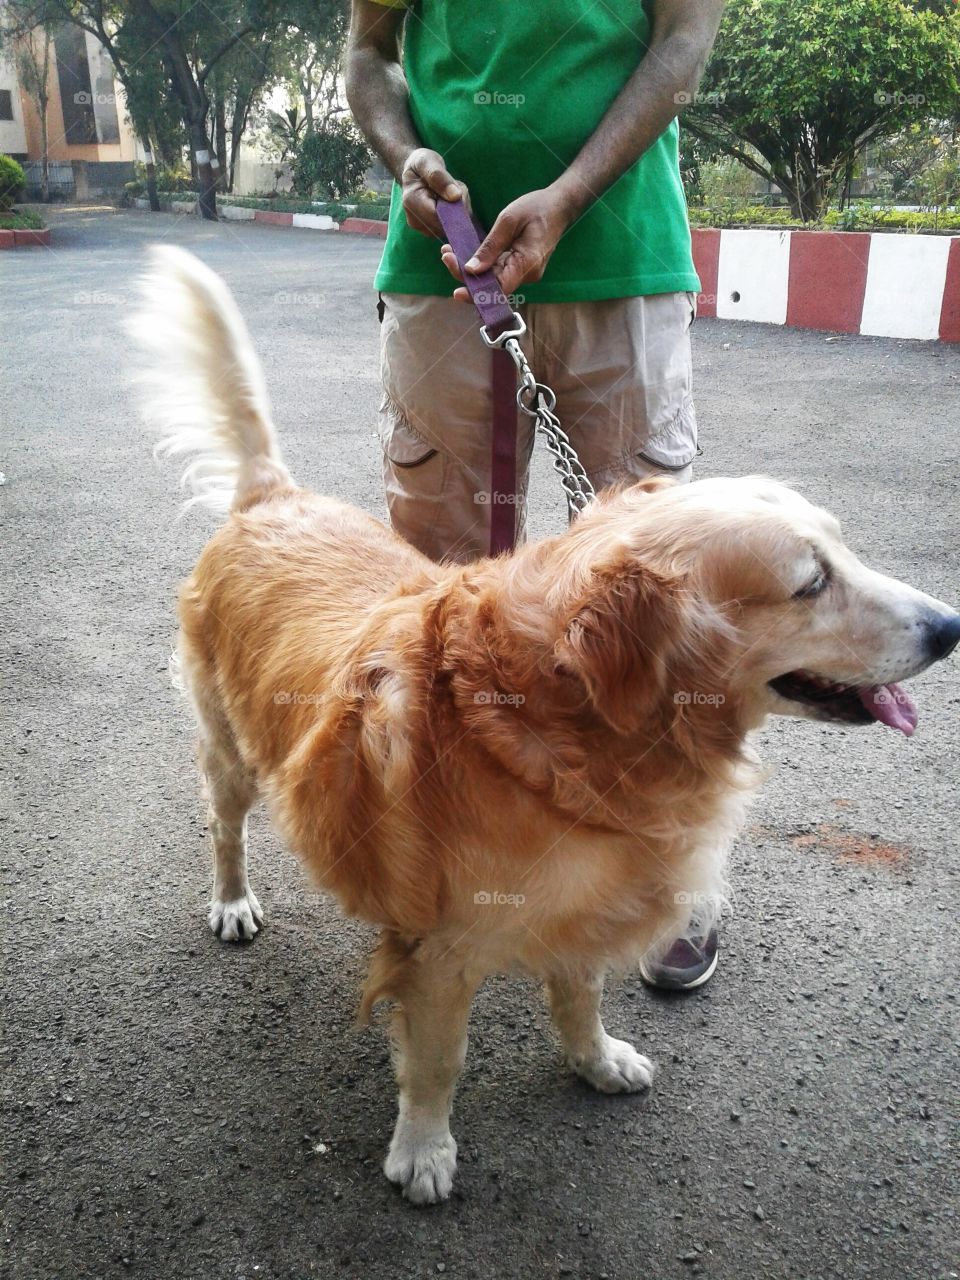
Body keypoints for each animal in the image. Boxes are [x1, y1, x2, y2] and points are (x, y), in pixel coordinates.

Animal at [133, 247, 957, 1198]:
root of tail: (272, 498)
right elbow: (438, 1061)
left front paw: (595, 1061)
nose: (950, 626)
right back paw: (232, 901)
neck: (561, 732)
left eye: (844, 552)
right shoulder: (441, 949)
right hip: (230, 750)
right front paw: (423, 1149)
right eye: (810, 583)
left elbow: (581, 996)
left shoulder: (591, 905)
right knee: (223, 825)